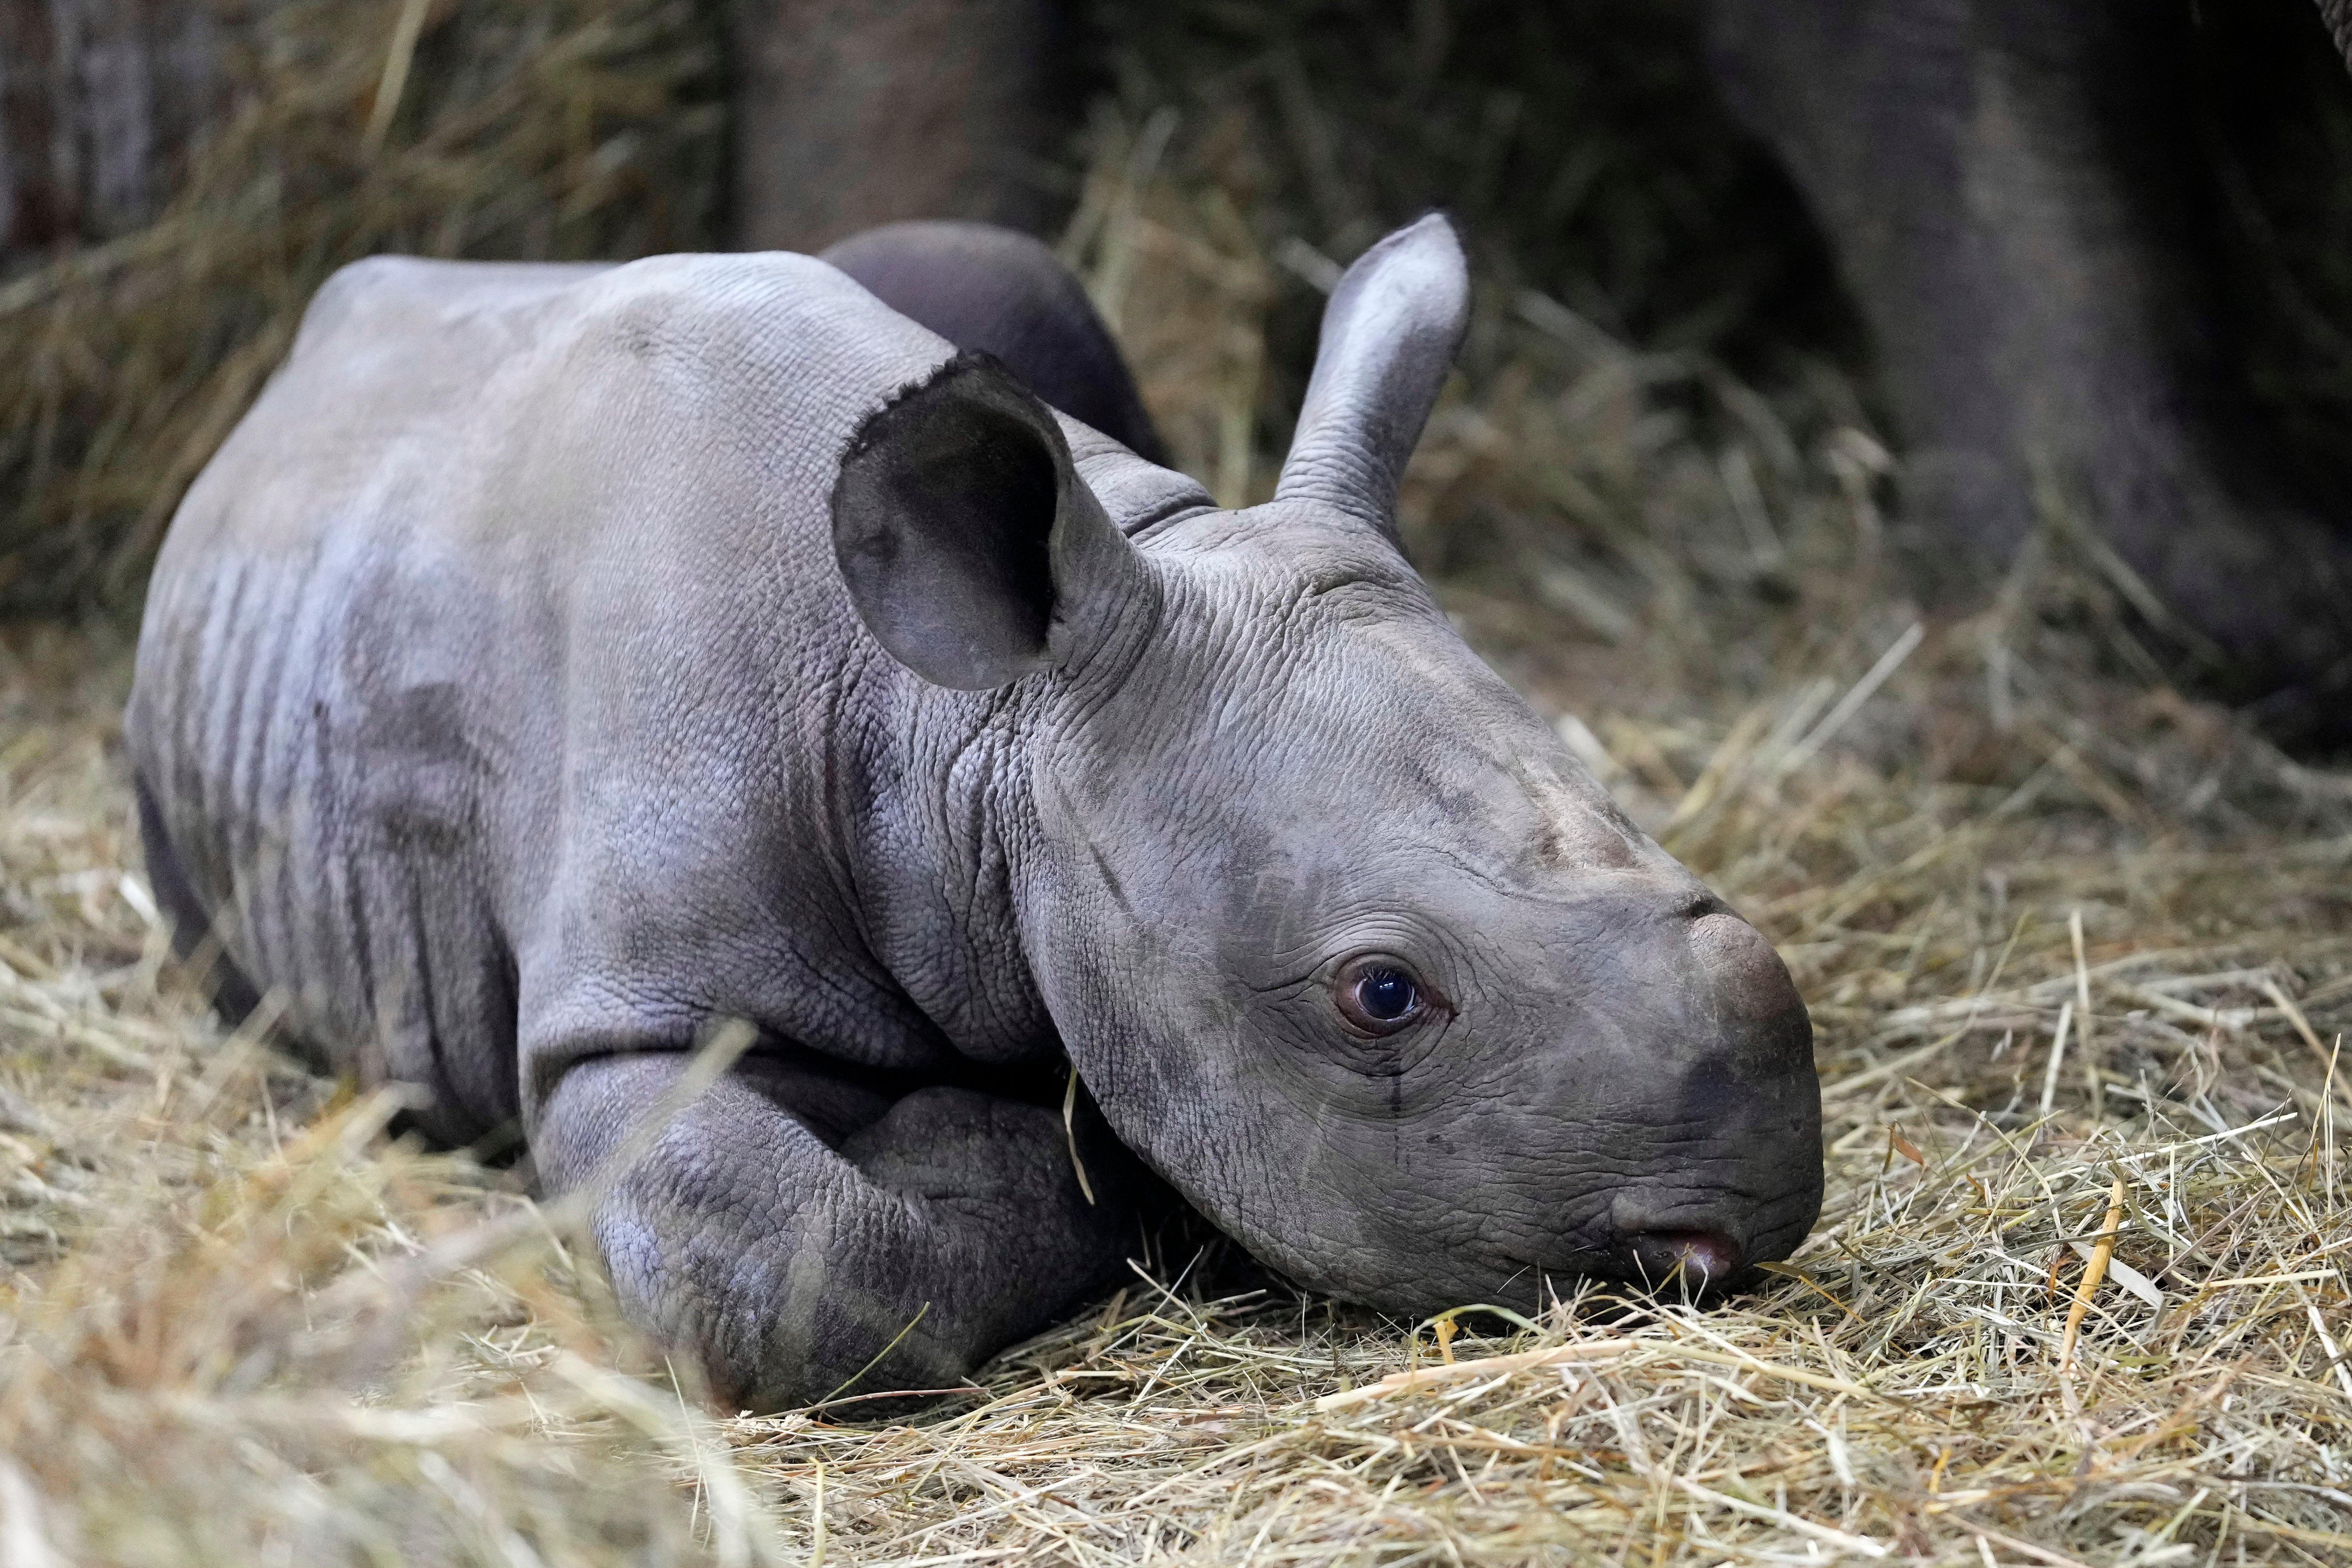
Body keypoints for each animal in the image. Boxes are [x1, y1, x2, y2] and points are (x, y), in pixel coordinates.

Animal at [127, 214, 1823, 1410]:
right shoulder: (625, 1017)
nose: (1759, 1196)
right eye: (1381, 994)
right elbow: (791, 1260)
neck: (973, 726)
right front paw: (1024, 1153)